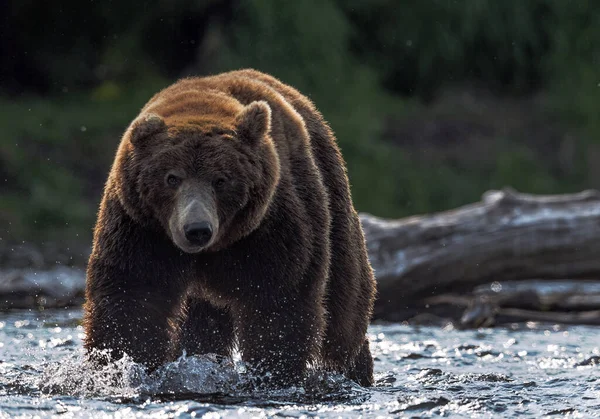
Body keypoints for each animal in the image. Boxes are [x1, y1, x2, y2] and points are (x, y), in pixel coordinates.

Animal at [82, 68, 378, 388]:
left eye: (221, 180)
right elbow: (132, 298)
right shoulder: (140, 228)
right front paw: (119, 367)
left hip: (330, 202)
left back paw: (356, 368)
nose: (197, 229)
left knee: (343, 308)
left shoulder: (270, 227)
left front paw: (272, 372)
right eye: (171, 178)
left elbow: (278, 299)